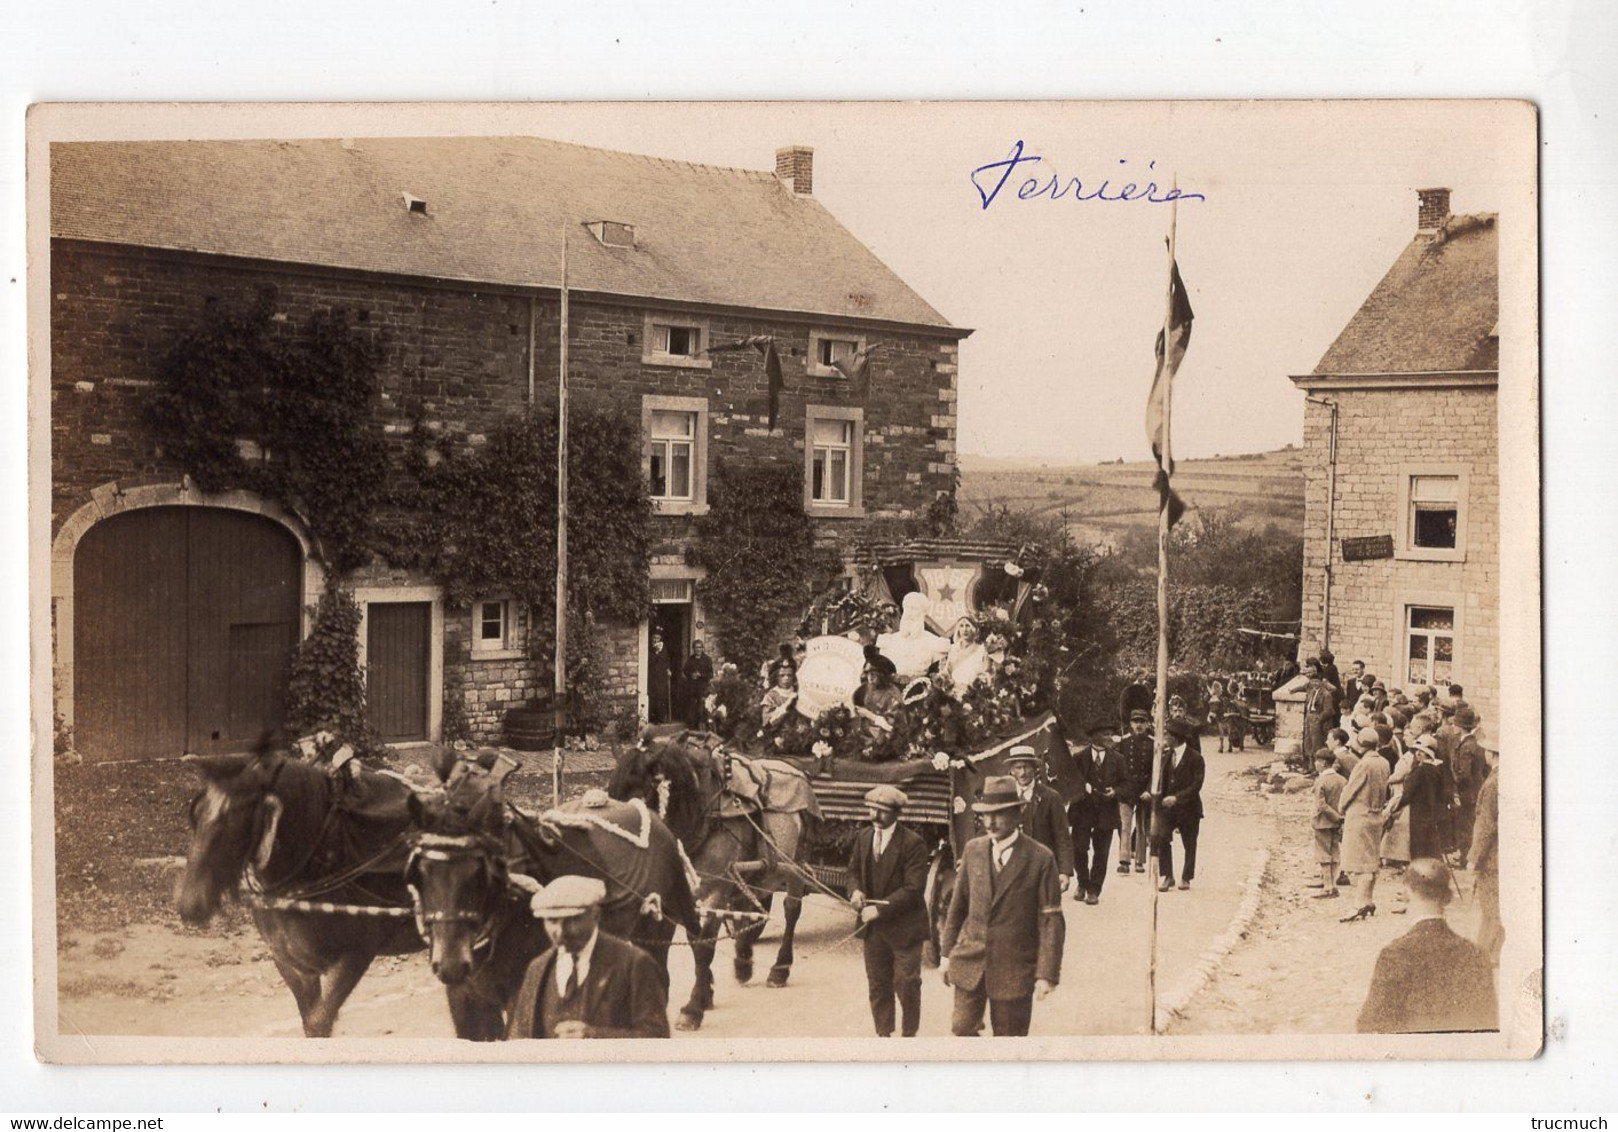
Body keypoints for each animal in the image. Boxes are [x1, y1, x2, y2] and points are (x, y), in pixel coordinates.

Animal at [175, 737, 423, 1041]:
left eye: (235, 814)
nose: (189, 904)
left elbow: (319, 1022)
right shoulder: (292, 964)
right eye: (196, 813)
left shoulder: (354, 958)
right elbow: (310, 1022)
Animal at [608, 730, 815, 1028]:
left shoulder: (715, 888)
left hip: (795, 863)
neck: (699, 816)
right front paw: (699, 992)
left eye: (641, 799)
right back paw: (743, 961)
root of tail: (796, 769)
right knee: (745, 906)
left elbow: (703, 945)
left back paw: (780, 968)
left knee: (791, 910)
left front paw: (694, 1006)